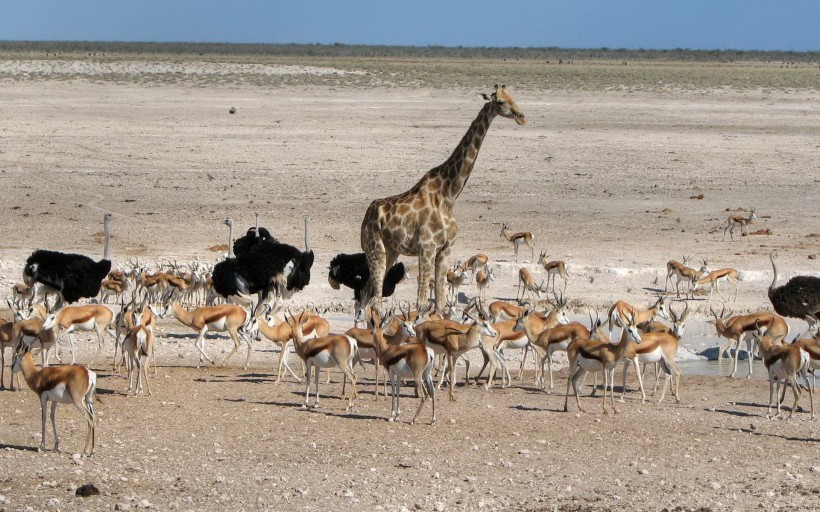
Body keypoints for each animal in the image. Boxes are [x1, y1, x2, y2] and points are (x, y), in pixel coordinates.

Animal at [362, 84, 528, 314]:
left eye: (513, 97)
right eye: (500, 102)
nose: (521, 117)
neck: (449, 194)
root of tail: (366, 216)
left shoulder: (446, 250)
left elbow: (441, 304)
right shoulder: (427, 248)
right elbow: (422, 303)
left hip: (391, 250)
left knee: (365, 293)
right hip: (375, 248)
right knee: (375, 299)